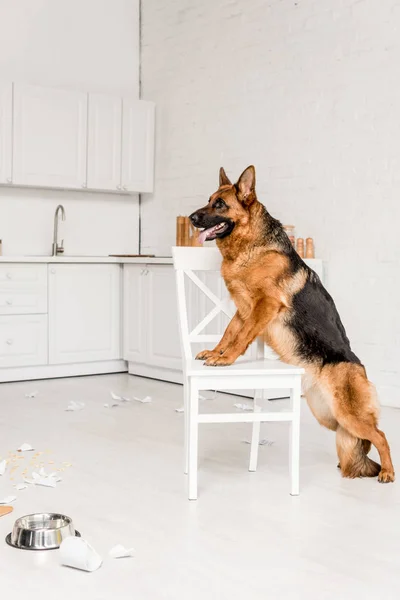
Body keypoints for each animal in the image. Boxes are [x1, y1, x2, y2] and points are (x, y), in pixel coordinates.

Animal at [190, 165, 394, 482]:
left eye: (220, 204)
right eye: (209, 200)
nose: (191, 218)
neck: (252, 246)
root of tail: (358, 366)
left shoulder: (265, 306)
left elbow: (241, 337)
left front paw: (226, 359)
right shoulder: (244, 309)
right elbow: (229, 332)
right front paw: (215, 352)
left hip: (349, 416)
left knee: (381, 435)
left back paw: (387, 472)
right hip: (328, 416)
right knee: (365, 439)